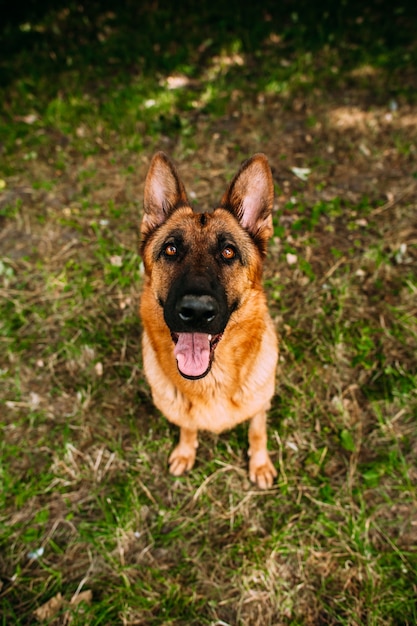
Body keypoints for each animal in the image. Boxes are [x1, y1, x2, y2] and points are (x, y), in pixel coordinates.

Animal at [138, 151, 278, 488]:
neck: (210, 381)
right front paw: (185, 451)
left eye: (228, 252)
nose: (197, 311)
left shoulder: (260, 405)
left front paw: (260, 464)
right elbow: (188, 426)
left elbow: (257, 431)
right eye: (171, 249)